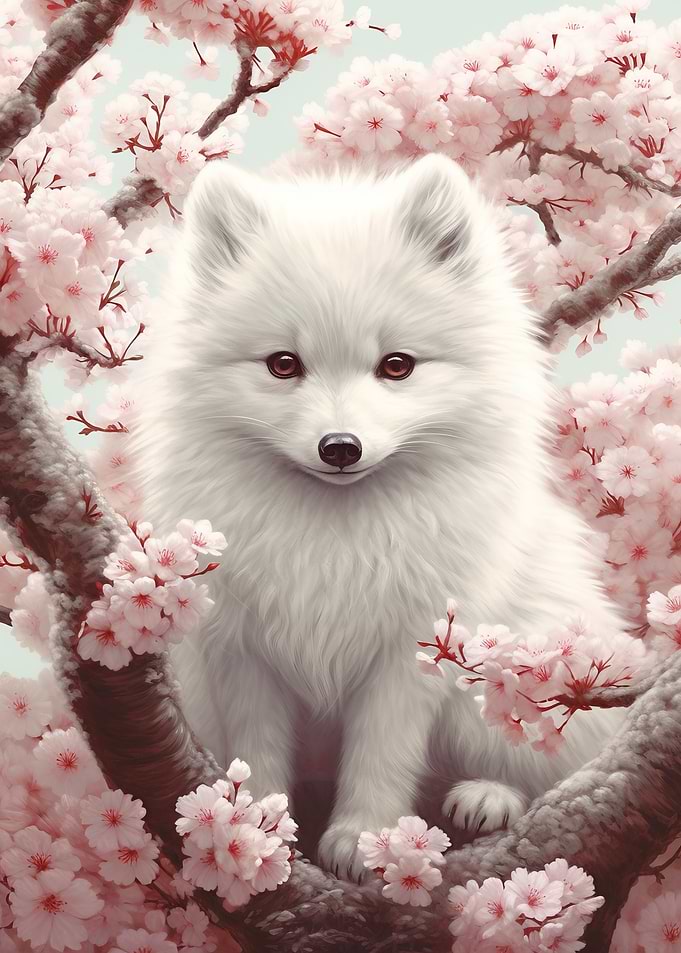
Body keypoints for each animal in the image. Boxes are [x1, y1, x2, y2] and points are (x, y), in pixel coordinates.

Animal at [133, 153, 625, 880]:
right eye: (283, 363)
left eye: (396, 365)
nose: (339, 447)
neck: (333, 537)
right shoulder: (243, 650)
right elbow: (257, 750)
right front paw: (257, 829)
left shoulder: (410, 650)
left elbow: (382, 750)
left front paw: (366, 838)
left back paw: (486, 797)